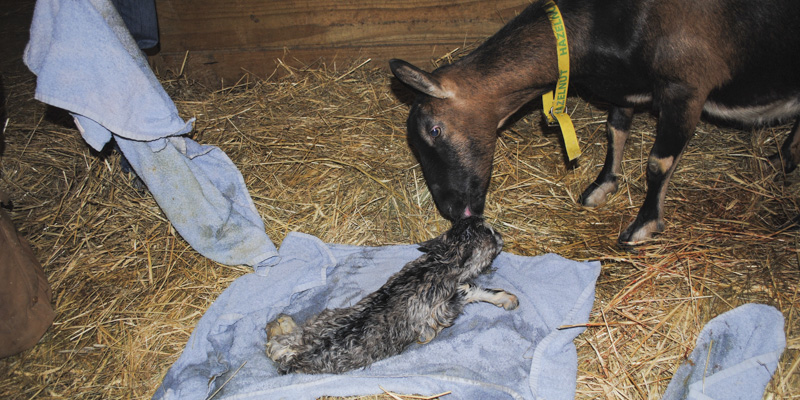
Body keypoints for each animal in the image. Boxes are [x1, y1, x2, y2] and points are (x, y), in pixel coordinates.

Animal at [265, 216, 518, 374]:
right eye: (490, 233)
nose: (501, 236)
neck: (440, 263)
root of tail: (300, 350)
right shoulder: (443, 307)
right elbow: (471, 291)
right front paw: (507, 299)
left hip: (318, 320)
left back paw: (281, 324)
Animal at [390, 0, 800, 246]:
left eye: (434, 130)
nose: (450, 208)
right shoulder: (626, 89)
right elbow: (615, 130)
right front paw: (601, 187)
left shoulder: (686, 87)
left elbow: (659, 162)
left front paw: (643, 225)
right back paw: (781, 160)